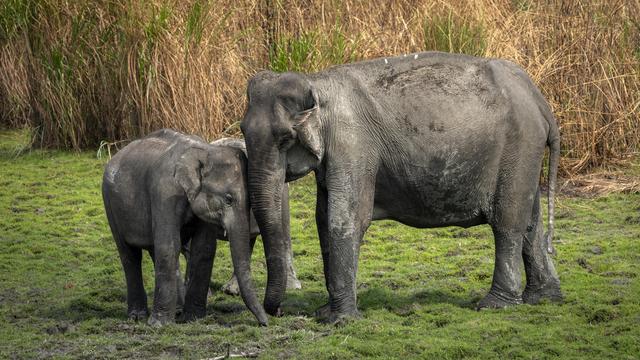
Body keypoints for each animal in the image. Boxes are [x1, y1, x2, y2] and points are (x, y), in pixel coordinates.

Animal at [102, 129, 300, 326]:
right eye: (228, 199)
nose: (270, 319)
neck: (205, 151)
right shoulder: (164, 193)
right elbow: (169, 247)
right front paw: (159, 325)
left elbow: (203, 249)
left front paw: (193, 318)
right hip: (109, 202)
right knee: (130, 255)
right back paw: (138, 316)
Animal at [242, 51, 564, 324]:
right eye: (243, 131)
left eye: (285, 138)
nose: (277, 312)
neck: (317, 82)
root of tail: (540, 101)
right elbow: (322, 219)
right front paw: (325, 312)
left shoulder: (352, 144)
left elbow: (345, 219)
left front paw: (339, 321)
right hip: (526, 153)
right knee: (530, 222)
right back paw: (543, 298)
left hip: (519, 145)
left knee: (508, 222)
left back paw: (495, 304)